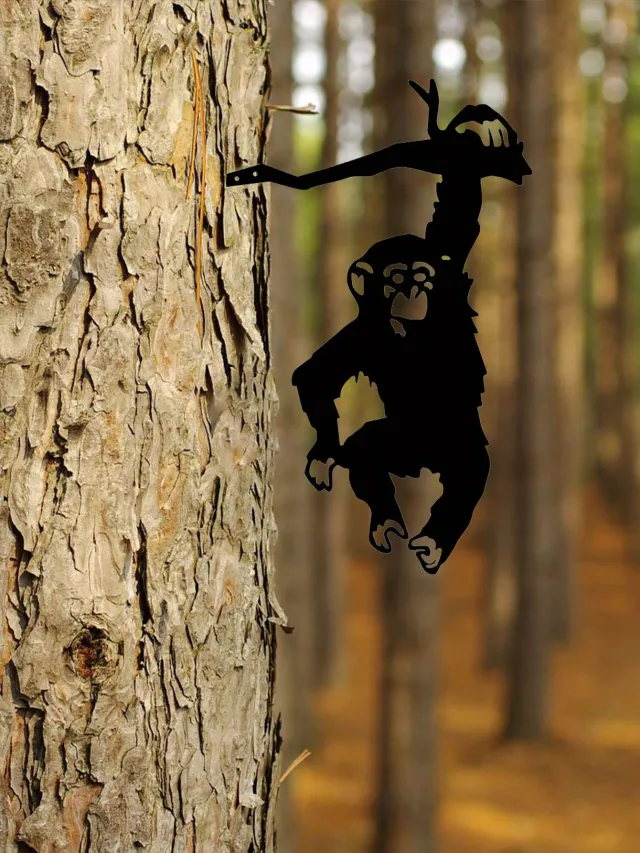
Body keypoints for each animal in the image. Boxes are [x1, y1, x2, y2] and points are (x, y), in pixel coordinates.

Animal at [226, 80, 531, 573]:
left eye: (421, 276)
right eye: (395, 279)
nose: (413, 293)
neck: (411, 333)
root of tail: (423, 463)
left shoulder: (449, 281)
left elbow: (458, 204)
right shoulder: (363, 333)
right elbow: (316, 376)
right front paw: (324, 453)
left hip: (457, 441)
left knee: (467, 476)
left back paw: (433, 541)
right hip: (400, 442)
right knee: (367, 452)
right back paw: (387, 521)